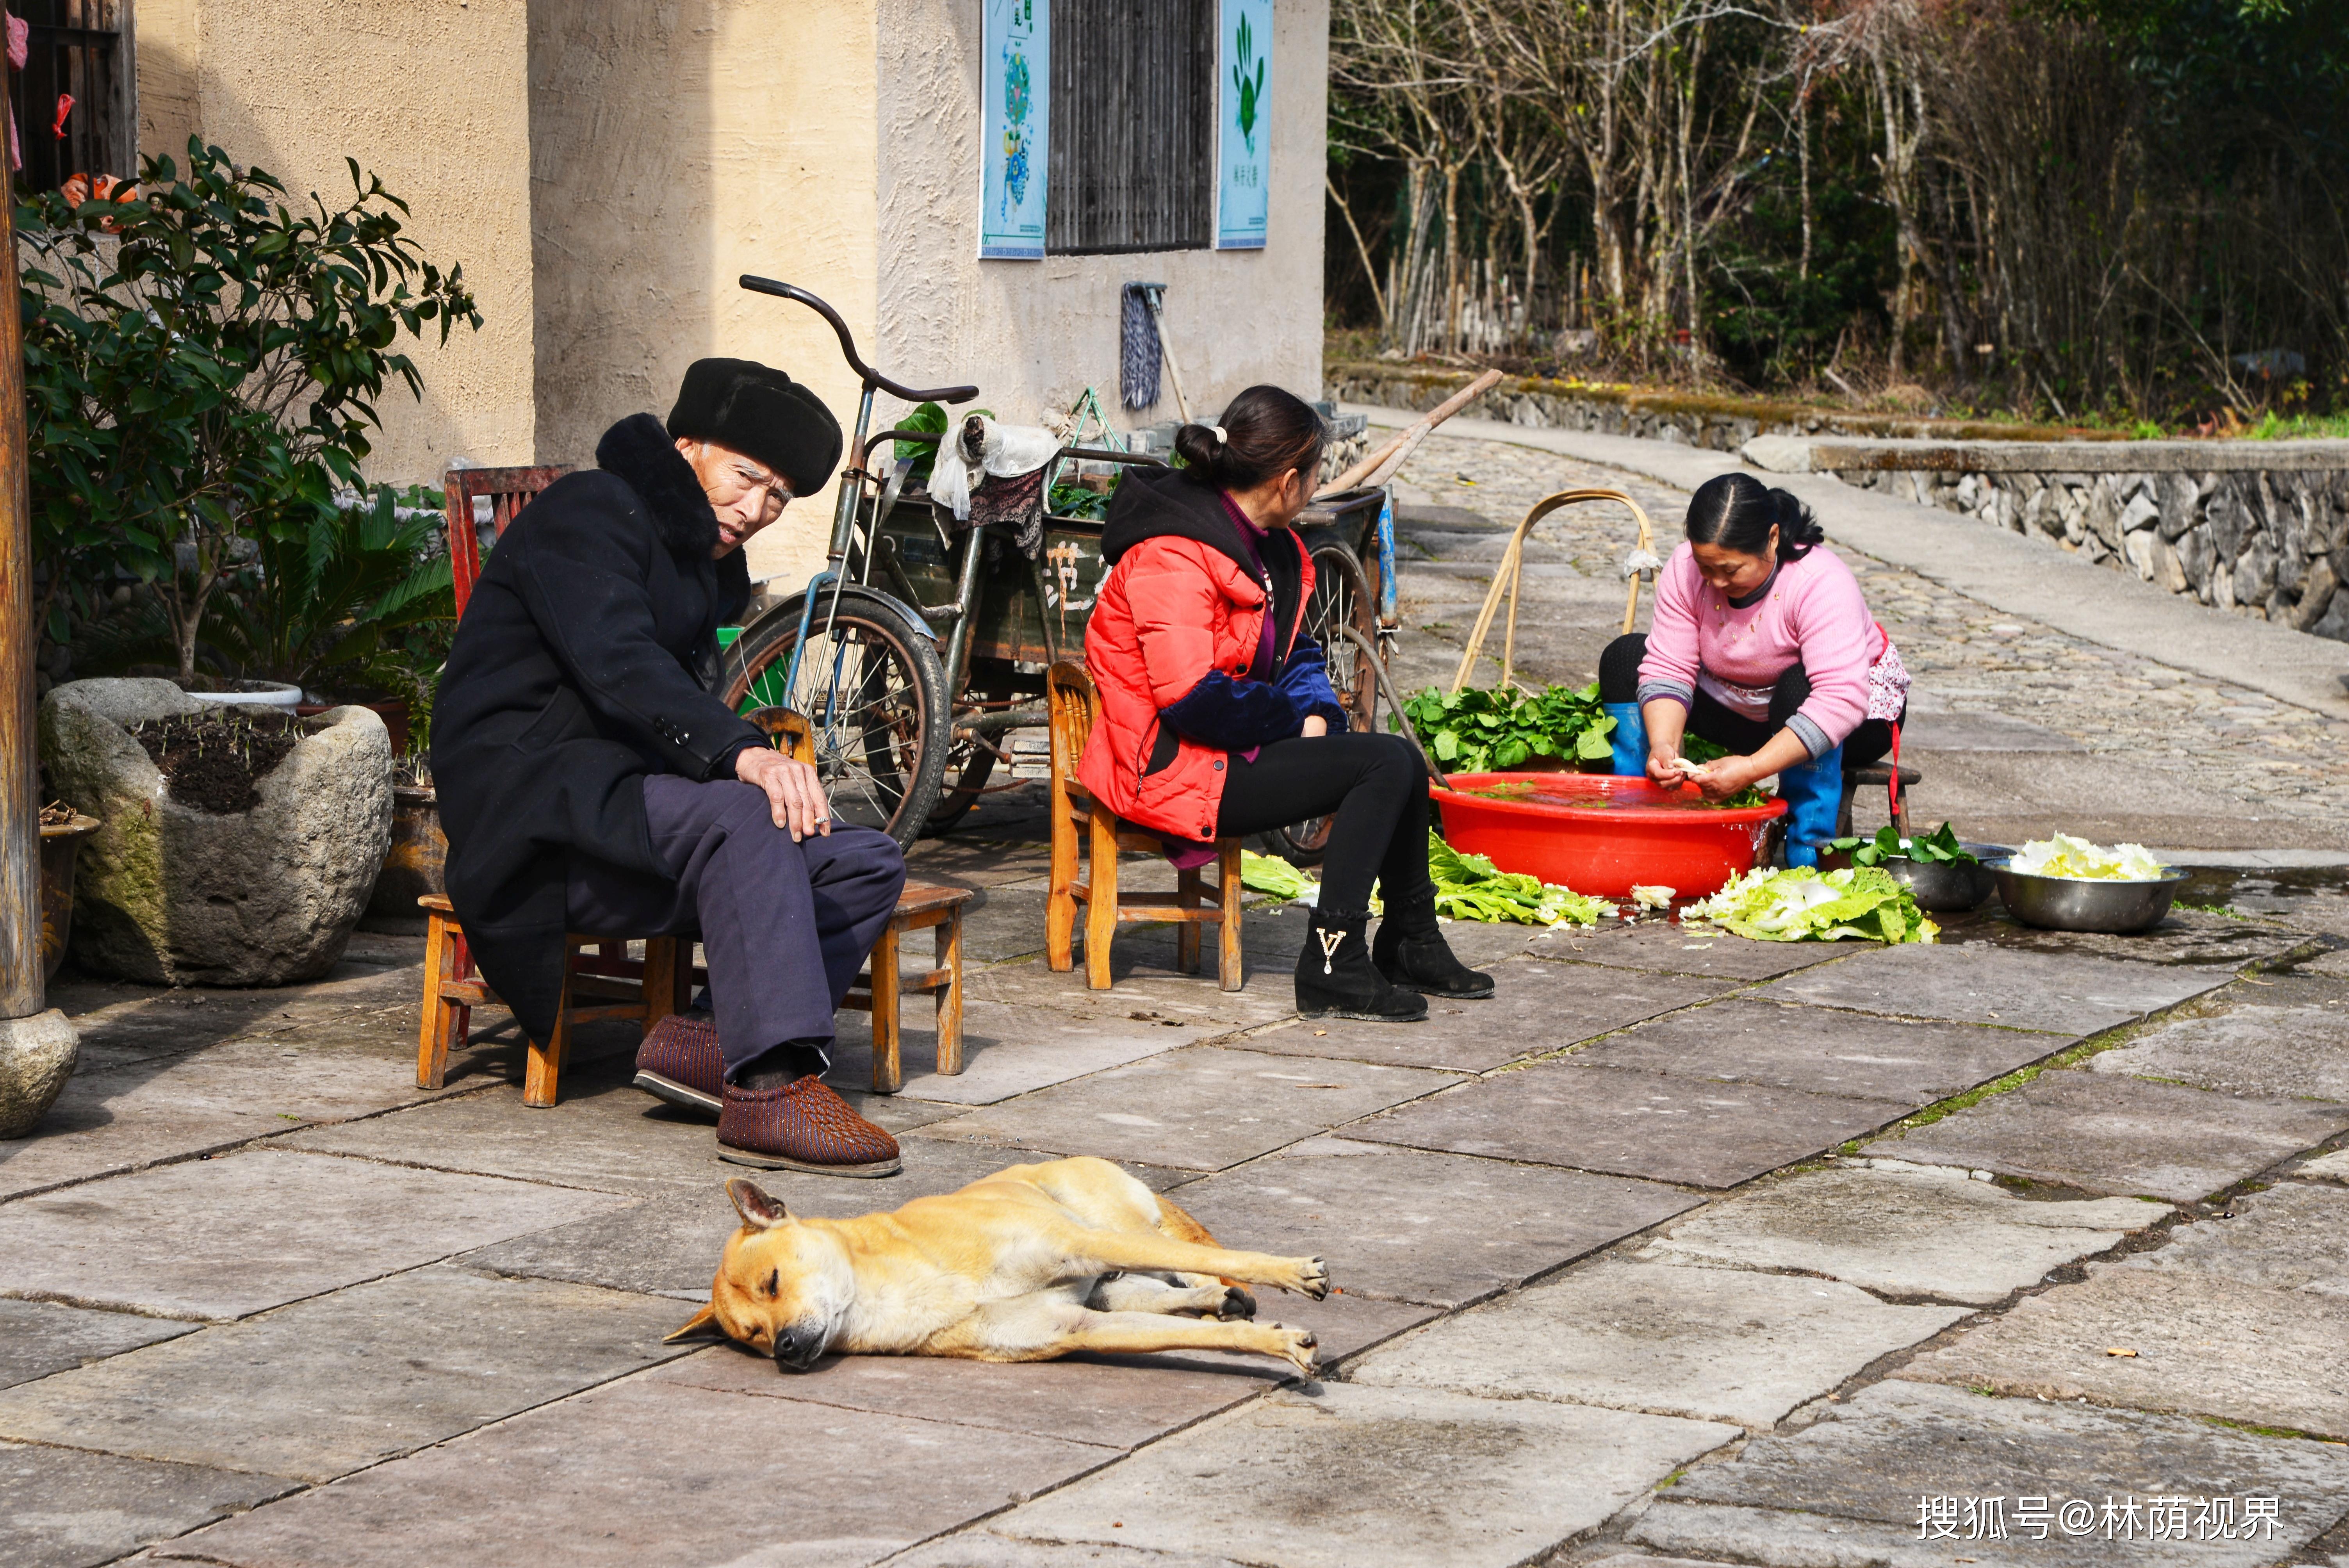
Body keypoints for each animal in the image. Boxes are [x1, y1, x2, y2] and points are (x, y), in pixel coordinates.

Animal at [672, 1150, 1334, 1370]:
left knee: (1189, 1259)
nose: (784, 1349)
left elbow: (1246, 1263)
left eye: (773, 1280)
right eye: (754, 1337)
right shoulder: (1074, 1326)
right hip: (1113, 1287)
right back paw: (1216, 1302)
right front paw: (1277, 1342)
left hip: (1114, 1226)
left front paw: (1292, 1275)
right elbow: (1192, 1337)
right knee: (1167, 1292)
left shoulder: (1077, 1245)